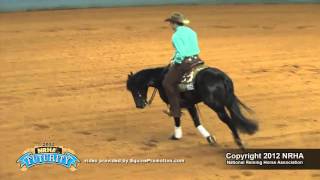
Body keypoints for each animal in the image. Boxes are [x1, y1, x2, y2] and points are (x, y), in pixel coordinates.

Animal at [126, 65, 258, 148]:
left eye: (134, 88)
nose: (139, 105)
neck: (161, 78)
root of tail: (222, 78)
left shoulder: (177, 103)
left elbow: (177, 118)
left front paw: (176, 135)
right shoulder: (191, 104)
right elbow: (196, 121)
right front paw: (210, 138)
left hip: (216, 106)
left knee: (229, 121)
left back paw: (239, 142)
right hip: (228, 102)